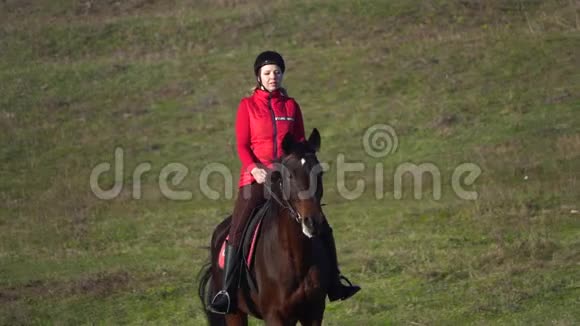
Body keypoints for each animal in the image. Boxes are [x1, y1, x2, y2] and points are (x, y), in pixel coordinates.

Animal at [197, 129, 328, 324]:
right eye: (290, 175)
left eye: (319, 174)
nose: (312, 222)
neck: (294, 257)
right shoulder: (275, 316)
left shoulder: (314, 313)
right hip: (234, 314)